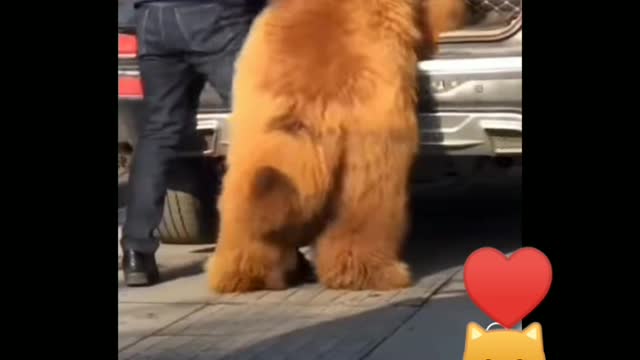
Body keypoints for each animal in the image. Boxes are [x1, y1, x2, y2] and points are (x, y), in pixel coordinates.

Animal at [208, 0, 468, 292]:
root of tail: (306, 99)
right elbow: (440, 16)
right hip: (370, 125)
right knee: (368, 199)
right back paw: (373, 271)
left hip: (256, 128)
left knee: (248, 195)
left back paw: (242, 272)